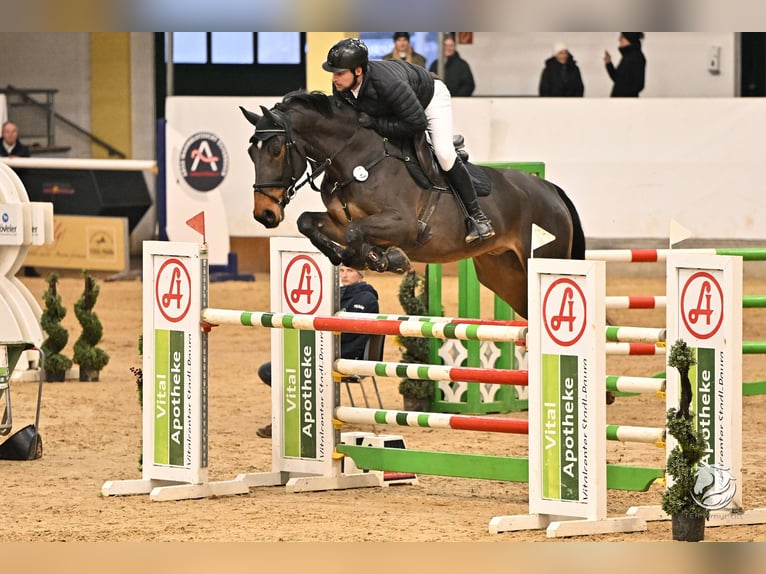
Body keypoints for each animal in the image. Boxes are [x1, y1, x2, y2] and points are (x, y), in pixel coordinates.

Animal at [240, 90, 585, 319]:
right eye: (250, 153)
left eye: (275, 149)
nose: (264, 214)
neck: (354, 159)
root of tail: (551, 190)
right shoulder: (338, 219)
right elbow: (309, 222)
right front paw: (354, 256)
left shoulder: (404, 224)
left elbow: (355, 233)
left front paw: (384, 259)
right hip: (503, 275)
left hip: (543, 258)